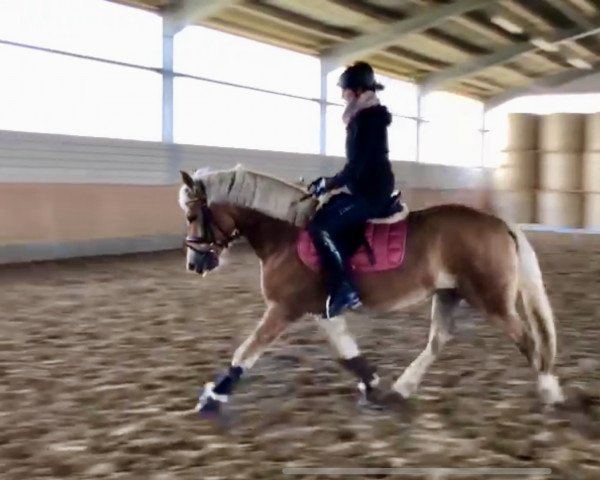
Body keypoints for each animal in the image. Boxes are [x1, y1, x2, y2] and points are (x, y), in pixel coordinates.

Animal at [176, 166, 564, 420]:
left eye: (193, 215)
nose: (194, 264)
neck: (286, 234)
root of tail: (498, 223)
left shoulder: (284, 308)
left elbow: (246, 351)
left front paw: (212, 397)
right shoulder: (322, 310)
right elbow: (348, 352)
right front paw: (372, 384)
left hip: (491, 300)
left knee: (527, 340)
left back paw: (549, 392)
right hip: (449, 293)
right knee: (439, 340)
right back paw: (402, 388)